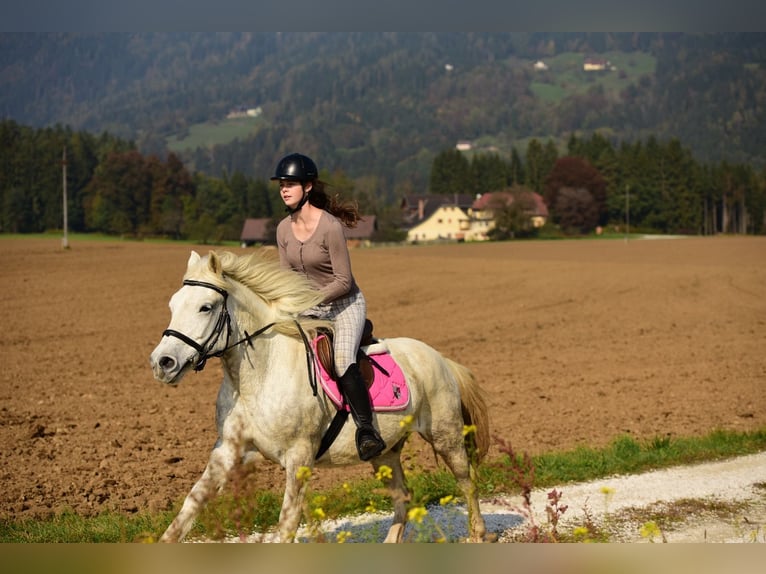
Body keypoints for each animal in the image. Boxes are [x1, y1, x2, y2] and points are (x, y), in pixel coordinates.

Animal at [149, 249, 490, 543]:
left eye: (205, 307)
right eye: (172, 305)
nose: (162, 363)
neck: (255, 380)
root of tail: (441, 359)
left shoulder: (299, 457)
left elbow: (287, 523)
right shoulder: (226, 453)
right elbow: (188, 509)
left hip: (446, 437)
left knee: (467, 481)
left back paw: (478, 534)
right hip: (386, 453)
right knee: (402, 495)